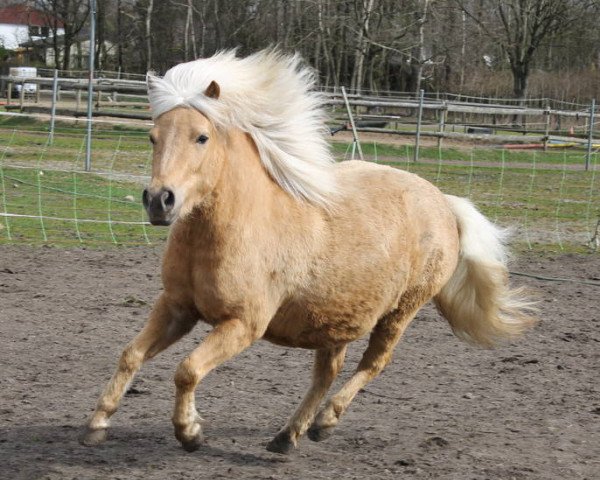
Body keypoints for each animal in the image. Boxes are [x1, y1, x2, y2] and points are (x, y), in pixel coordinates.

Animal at [79, 48, 536, 454]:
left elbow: (186, 371)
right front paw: (97, 424)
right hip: (338, 319)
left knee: (371, 365)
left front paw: (190, 432)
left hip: (400, 312)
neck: (235, 229)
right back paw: (288, 436)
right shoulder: (177, 308)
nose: (160, 201)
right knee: (325, 374)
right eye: (152, 136)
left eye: (201, 137)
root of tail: (442, 201)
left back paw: (324, 423)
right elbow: (131, 355)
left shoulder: (243, 324)